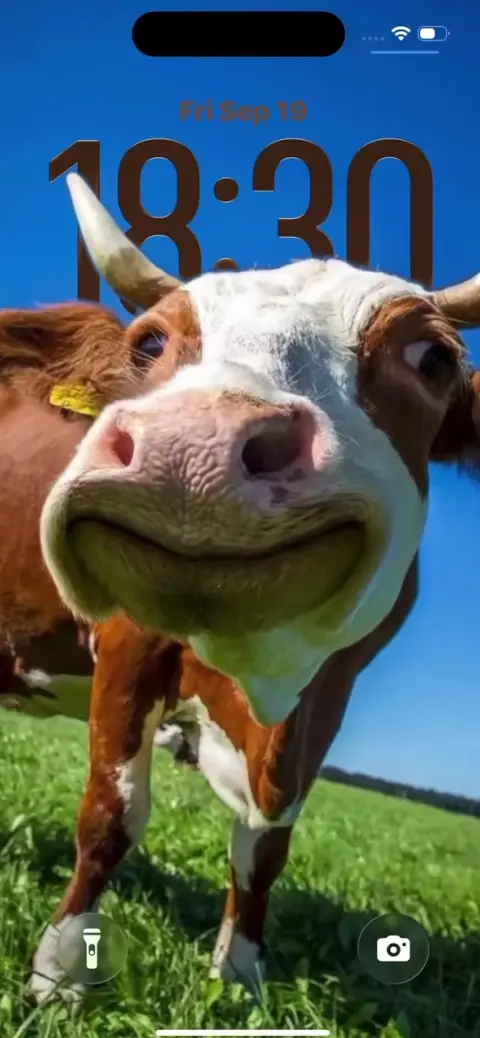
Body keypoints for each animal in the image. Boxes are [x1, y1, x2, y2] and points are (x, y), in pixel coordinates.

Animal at [13, 174, 480, 1003]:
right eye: (149, 344)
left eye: (432, 358)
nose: (190, 451)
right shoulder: (128, 641)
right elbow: (111, 812)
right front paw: (61, 973)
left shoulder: (328, 696)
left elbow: (266, 846)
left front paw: (237, 976)